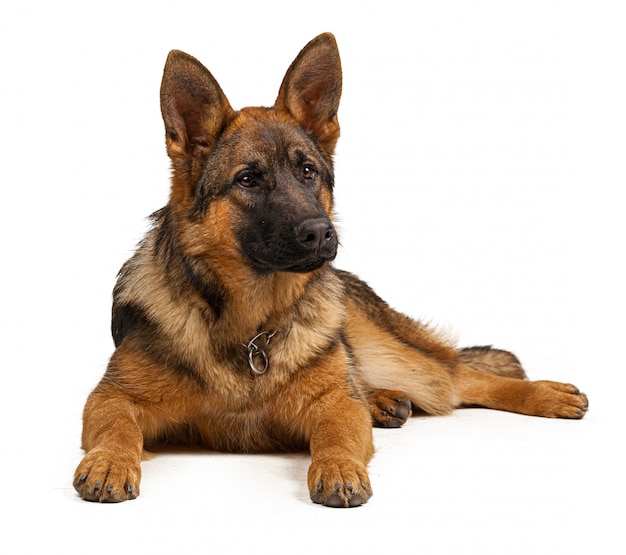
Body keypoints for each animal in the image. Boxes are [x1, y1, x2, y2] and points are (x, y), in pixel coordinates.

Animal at [72, 33, 584, 508]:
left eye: (308, 172)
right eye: (247, 180)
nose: (321, 234)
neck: (250, 330)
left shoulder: (336, 405)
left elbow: (336, 432)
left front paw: (338, 467)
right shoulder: (111, 397)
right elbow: (117, 427)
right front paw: (109, 461)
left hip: (399, 358)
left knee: (460, 376)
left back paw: (543, 394)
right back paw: (383, 401)